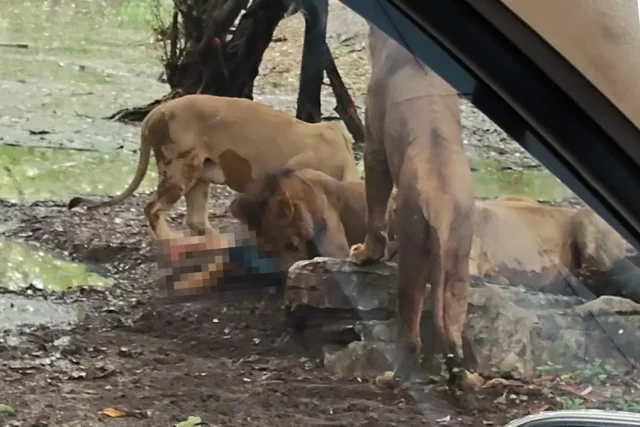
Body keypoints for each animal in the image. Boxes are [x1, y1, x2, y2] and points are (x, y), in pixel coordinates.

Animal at [67, 94, 361, 241]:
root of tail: (152, 115)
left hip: (199, 174)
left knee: (195, 220)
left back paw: (217, 239)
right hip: (179, 168)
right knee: (153, 208)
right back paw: (172, 239)